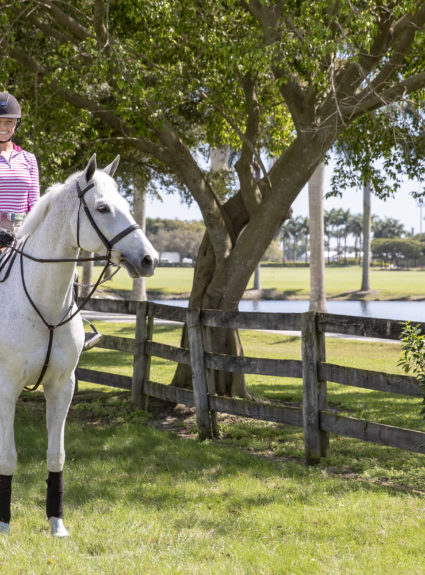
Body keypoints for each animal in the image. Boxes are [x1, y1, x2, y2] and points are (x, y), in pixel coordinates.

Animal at [0, 155, 157, 536]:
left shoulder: (62, 386)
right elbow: (7, 457)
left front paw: (57, 524)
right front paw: (4, 526)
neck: (43, 305)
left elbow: (56, 455)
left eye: (125, 204)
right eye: (102, 208)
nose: (149, 260)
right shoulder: (7, 387)